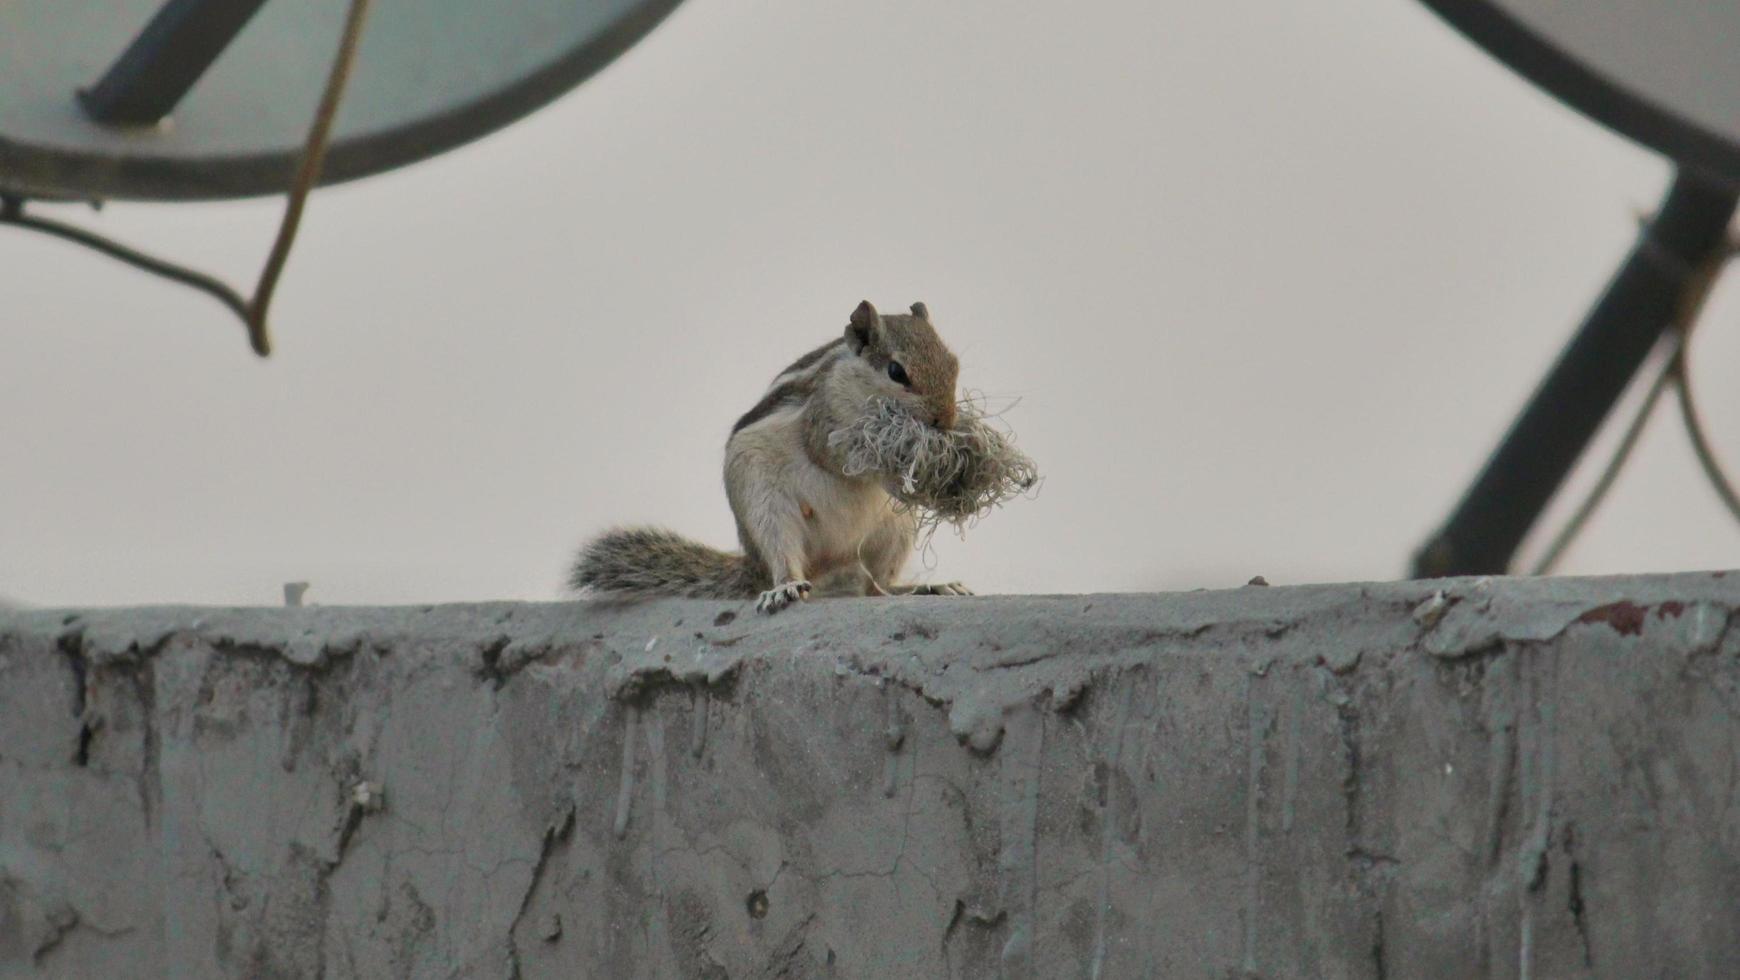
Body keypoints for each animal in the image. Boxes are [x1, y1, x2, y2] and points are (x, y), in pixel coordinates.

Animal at [577, 302, 974, 616]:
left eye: (954, 364)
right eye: (896, 372)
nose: (945, 420)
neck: (854, 379)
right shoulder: (823, 418)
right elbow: (834, 457)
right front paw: (900, 470)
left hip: (894, 531)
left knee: (876, 588)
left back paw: (926, 587)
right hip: (766, 509)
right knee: (785, 557)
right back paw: (785, 588)